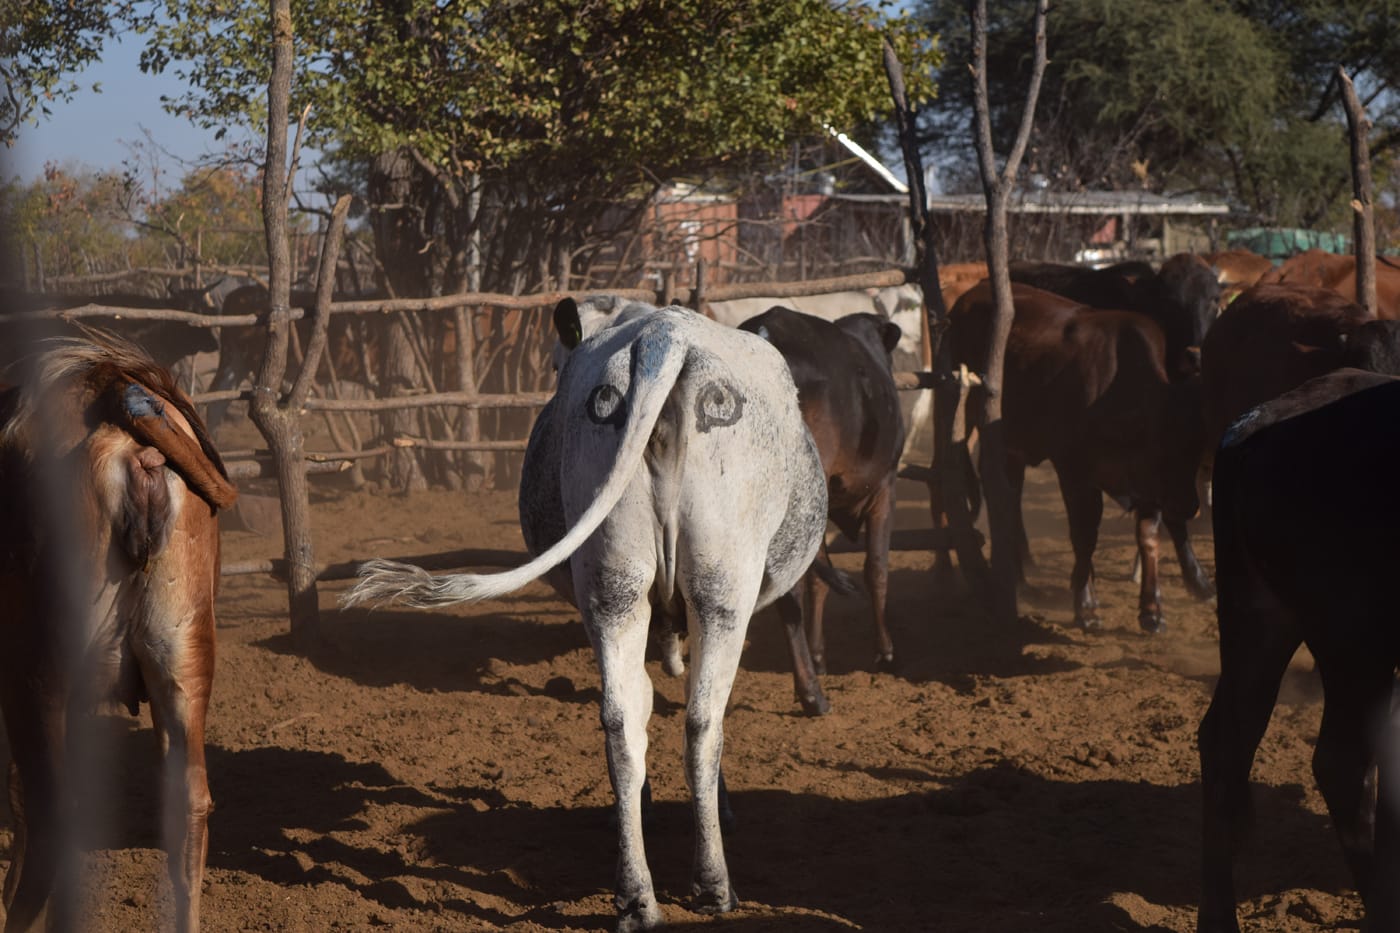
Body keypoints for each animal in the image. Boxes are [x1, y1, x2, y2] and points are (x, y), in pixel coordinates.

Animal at [344, 297, 833, 930]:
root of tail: (664, 335)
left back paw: (636, 896)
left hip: (613, 587)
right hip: (722, 590)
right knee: (703, 722)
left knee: (622, 722)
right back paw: (712, 884)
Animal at [947, 281, 1212, 633]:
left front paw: (1152, 610)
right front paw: (1086, 605)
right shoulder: (1074, 472)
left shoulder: (1146, 487)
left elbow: (1149, 537)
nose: (1190, 506)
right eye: (1164, 447)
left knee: (1010, 497)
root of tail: (972, 292)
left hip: (1013, 449)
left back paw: (1021, 576)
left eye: (1197, 447)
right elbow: (1084, 536)